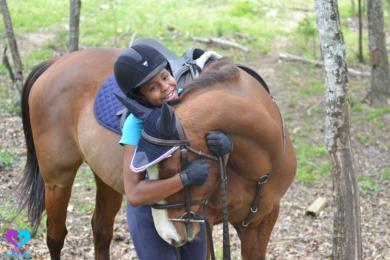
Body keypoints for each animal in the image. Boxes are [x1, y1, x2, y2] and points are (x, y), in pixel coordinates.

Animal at [19, 47, 296, 260]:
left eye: (172, 169)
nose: (168, 236)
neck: (259, 167)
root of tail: (57, 61)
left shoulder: (262, 221)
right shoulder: (204, 222)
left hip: (105, 178)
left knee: (101, 230)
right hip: (57, 180)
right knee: (56, 236)